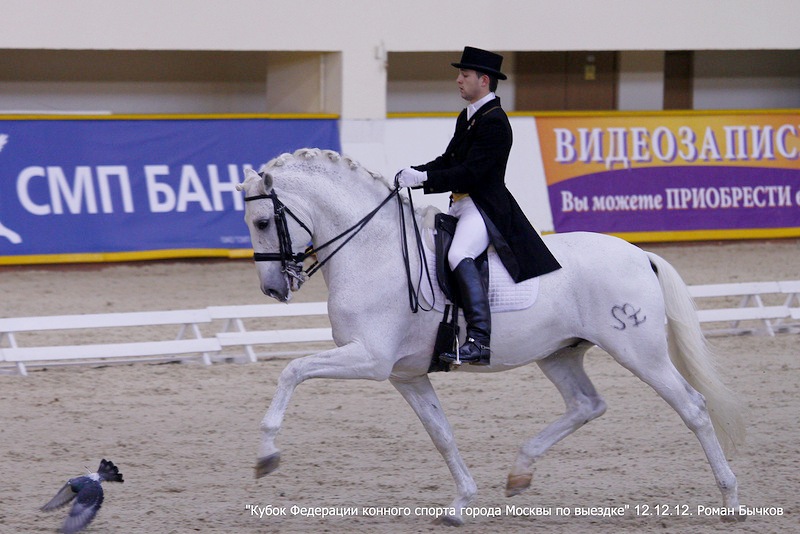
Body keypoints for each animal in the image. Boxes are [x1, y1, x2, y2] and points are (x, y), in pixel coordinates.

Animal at [234, 149, 748, 524]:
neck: (374, 250)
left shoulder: (370, 360)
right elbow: (441, 434)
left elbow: (292, 370)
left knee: (693, 407)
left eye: (261, 222)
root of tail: (640, 254)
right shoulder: (405, 375)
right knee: (587, 404)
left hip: (639, 351)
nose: (273, 289)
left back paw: (731, 502)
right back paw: (519, 473)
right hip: (558, 354)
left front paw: (267, 455)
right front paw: (462, 503)